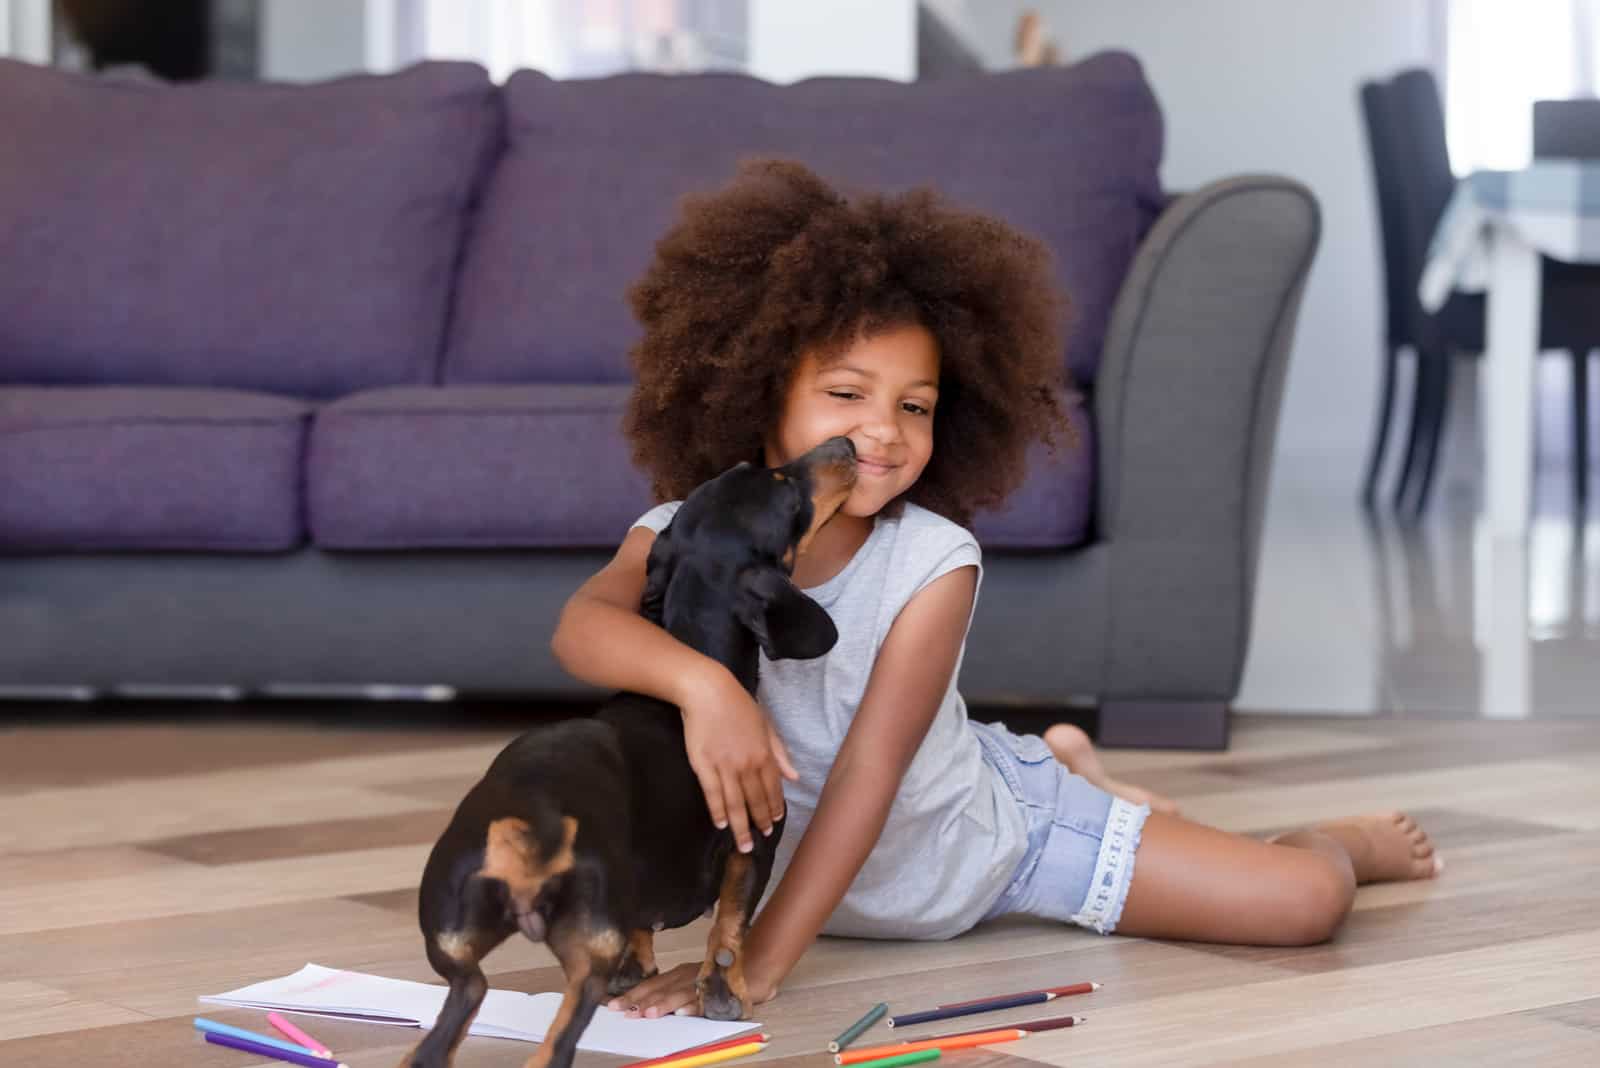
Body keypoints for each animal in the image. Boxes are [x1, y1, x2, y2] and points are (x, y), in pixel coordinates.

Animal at [400, 434, 857, 1068]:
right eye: (783, 485)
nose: (848, 444)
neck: (695, 654)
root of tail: (527, 824)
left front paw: (642, 974)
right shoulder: (757, 840)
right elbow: (729, 929)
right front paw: (723, 996)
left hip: (452, 945)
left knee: (459, 1006)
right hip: (588, 945)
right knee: (558, 1034)